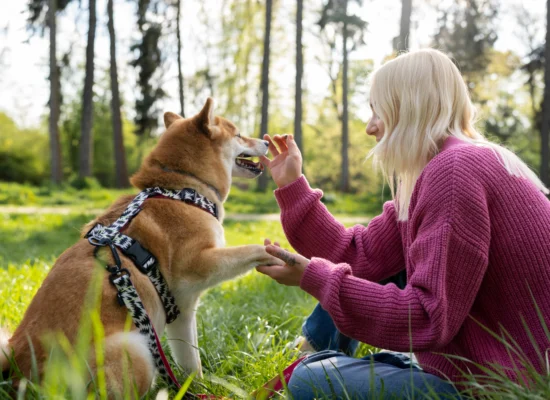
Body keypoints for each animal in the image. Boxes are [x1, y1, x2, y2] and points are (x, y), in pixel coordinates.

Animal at [0, 98, 284, 396]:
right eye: (239, 134)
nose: (266, 141)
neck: (183, 189)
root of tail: (21, 372)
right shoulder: (195, 276)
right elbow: (193, 361)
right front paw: (276, 254)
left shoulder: (179, 311)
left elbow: (187, 361)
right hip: (135, 347)